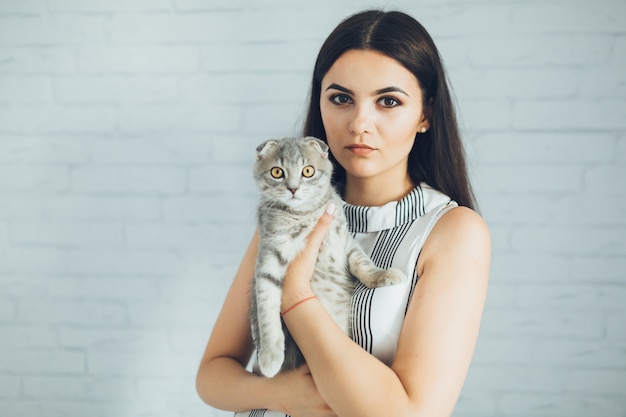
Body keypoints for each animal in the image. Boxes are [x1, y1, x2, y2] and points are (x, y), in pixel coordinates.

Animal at [251, 136, 408, 376]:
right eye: (277, 172)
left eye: (308, 171)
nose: (293, 189)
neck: (304, 214)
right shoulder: (269, 256)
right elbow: (266, 308)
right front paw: (270, 354)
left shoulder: (345, 240)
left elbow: (363, 262)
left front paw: (381, 275)